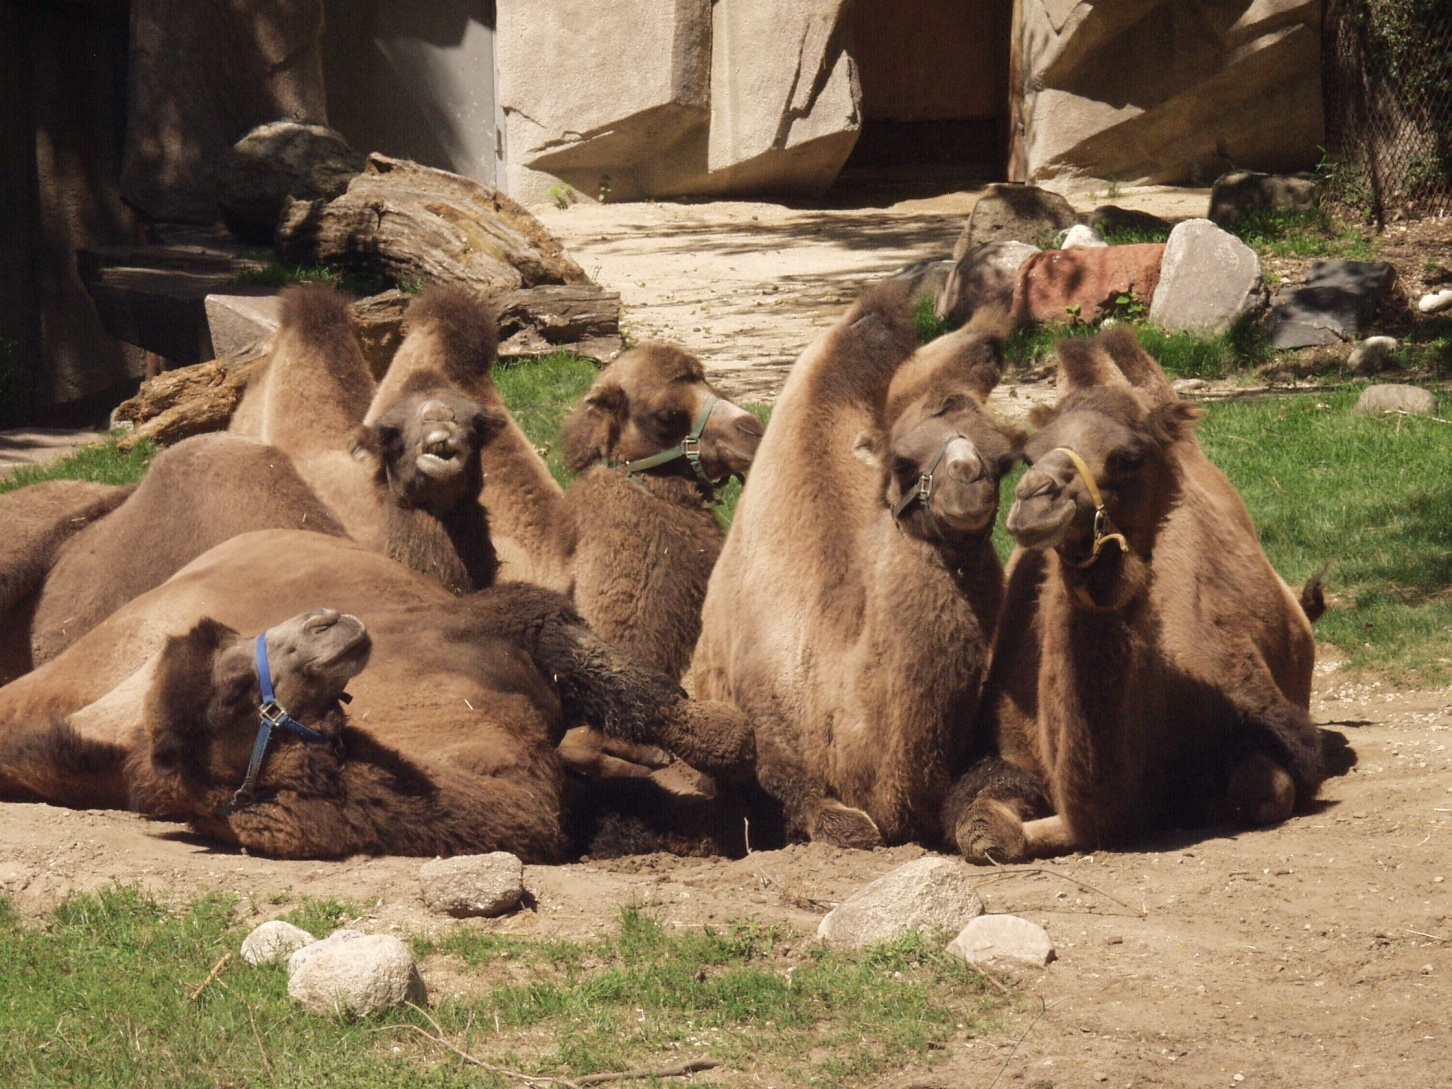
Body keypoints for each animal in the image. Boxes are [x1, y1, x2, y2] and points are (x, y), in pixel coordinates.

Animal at [940, 328, 1330, 865]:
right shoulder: (1001, 751)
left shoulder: (1269, 717)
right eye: (1028, 456)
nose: (1034, 499)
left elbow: (1265, 787)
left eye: (1128, 458)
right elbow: (983, 830)